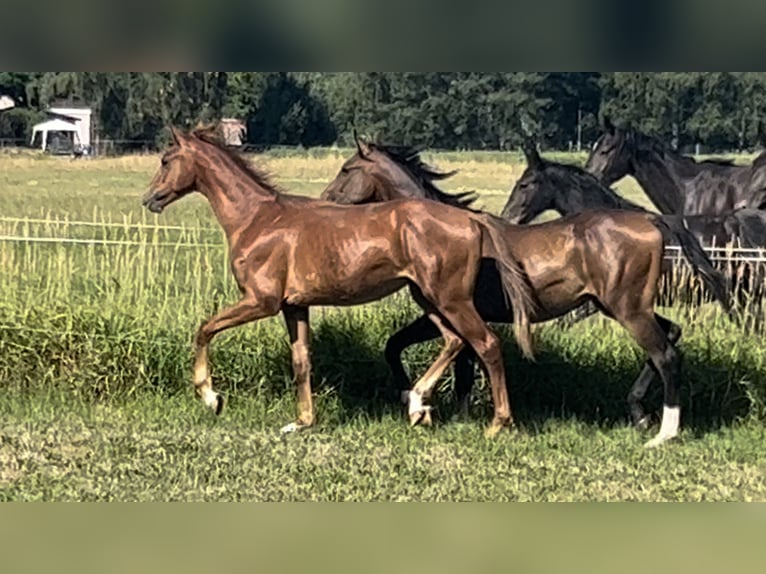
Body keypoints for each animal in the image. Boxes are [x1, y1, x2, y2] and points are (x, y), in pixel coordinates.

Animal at [146, 128, 540, 438]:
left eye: (166, 160)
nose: (149, 198)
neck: (258, 219)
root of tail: (473, 221)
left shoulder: (260, 301)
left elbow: (204, 329)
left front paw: (211, 398)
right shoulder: (294, 306)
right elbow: (301, 361)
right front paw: (302, 422)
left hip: (450, 300)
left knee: (486, 344)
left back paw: (496, 423)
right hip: (429, 299)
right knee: (455, 341)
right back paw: (417, 406)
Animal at [320, 136, 736, 450]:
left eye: (347, 170)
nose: (325, 201)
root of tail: (651, 218)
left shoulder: (449, 310)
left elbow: (418, 351)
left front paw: (422, 403)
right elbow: (447, 361)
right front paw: (443, 410)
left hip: (628, 310)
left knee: (666, 355)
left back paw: (664, 432)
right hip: (620, 306)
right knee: (672, 336)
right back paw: (641, 414)